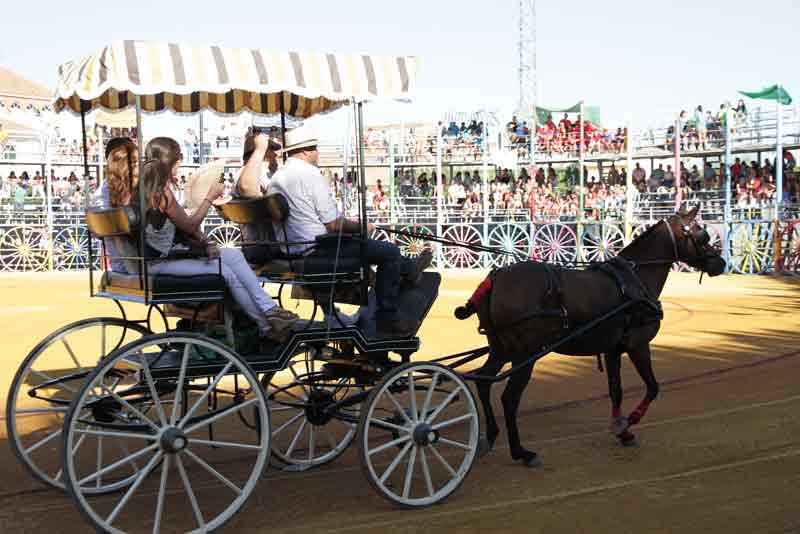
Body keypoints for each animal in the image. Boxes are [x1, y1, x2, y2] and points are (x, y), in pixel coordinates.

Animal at [456, 209, 724, 468]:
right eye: (702, 235)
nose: (720, 263)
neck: (635, 278)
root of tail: (494, 278)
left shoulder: (613, 349)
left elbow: (616, 390)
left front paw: (622, 431)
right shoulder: (638, 346)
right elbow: (652, 387)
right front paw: (628, 422)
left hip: (501, 349)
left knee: (483, 381)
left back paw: (490, 436)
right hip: (525, 355)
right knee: (509, 398)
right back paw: (521, 452)